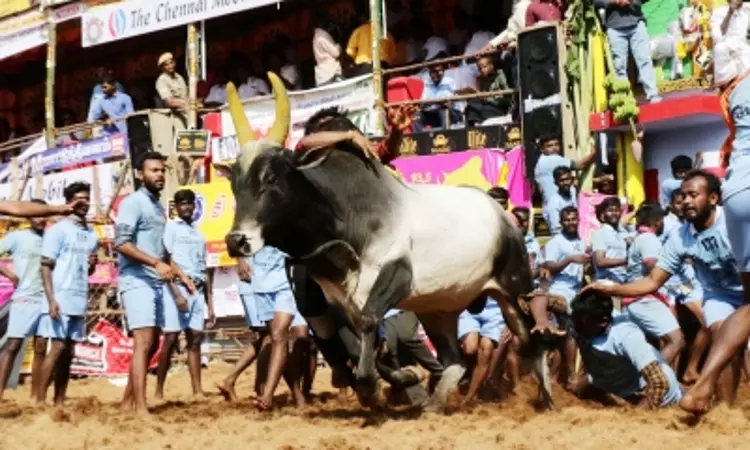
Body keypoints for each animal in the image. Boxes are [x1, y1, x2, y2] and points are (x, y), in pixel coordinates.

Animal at [217, 72, 545, 411]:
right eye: (234, 183)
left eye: (271, 178)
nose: (236, 241)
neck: (343, 217)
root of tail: (504, 217)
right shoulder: (338, 298)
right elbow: (357, 337)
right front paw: (398, 379)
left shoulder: (396, 273)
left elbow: (368, 322)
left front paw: (372, 384)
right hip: (437, 309)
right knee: (455, 361)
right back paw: (433, 404)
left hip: (514, 290)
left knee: (532, 340)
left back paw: (545, 398)